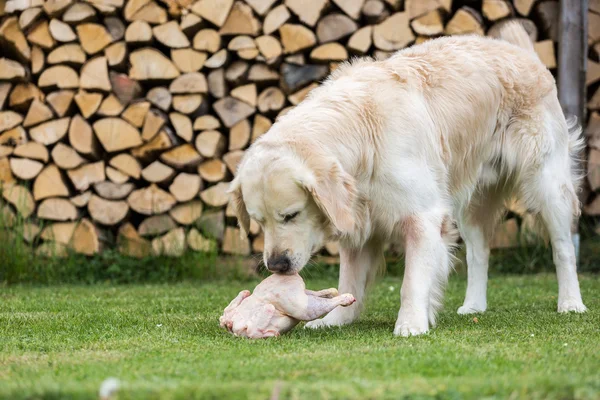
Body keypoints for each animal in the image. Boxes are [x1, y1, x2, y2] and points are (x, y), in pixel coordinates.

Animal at [226, 22, 584, 338]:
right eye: (258, 222)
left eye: (291, 215)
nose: (276, 265)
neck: (361, 133)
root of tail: (524, 53)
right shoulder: (359, 222)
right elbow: (349, 282)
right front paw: (335, 320)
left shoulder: (423, 217)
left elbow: (411, 282)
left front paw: (411, 325)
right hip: (470, 201)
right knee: (478, 252)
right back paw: (473, 306)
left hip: (547, 184)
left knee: (563, 247)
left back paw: (571, 303)